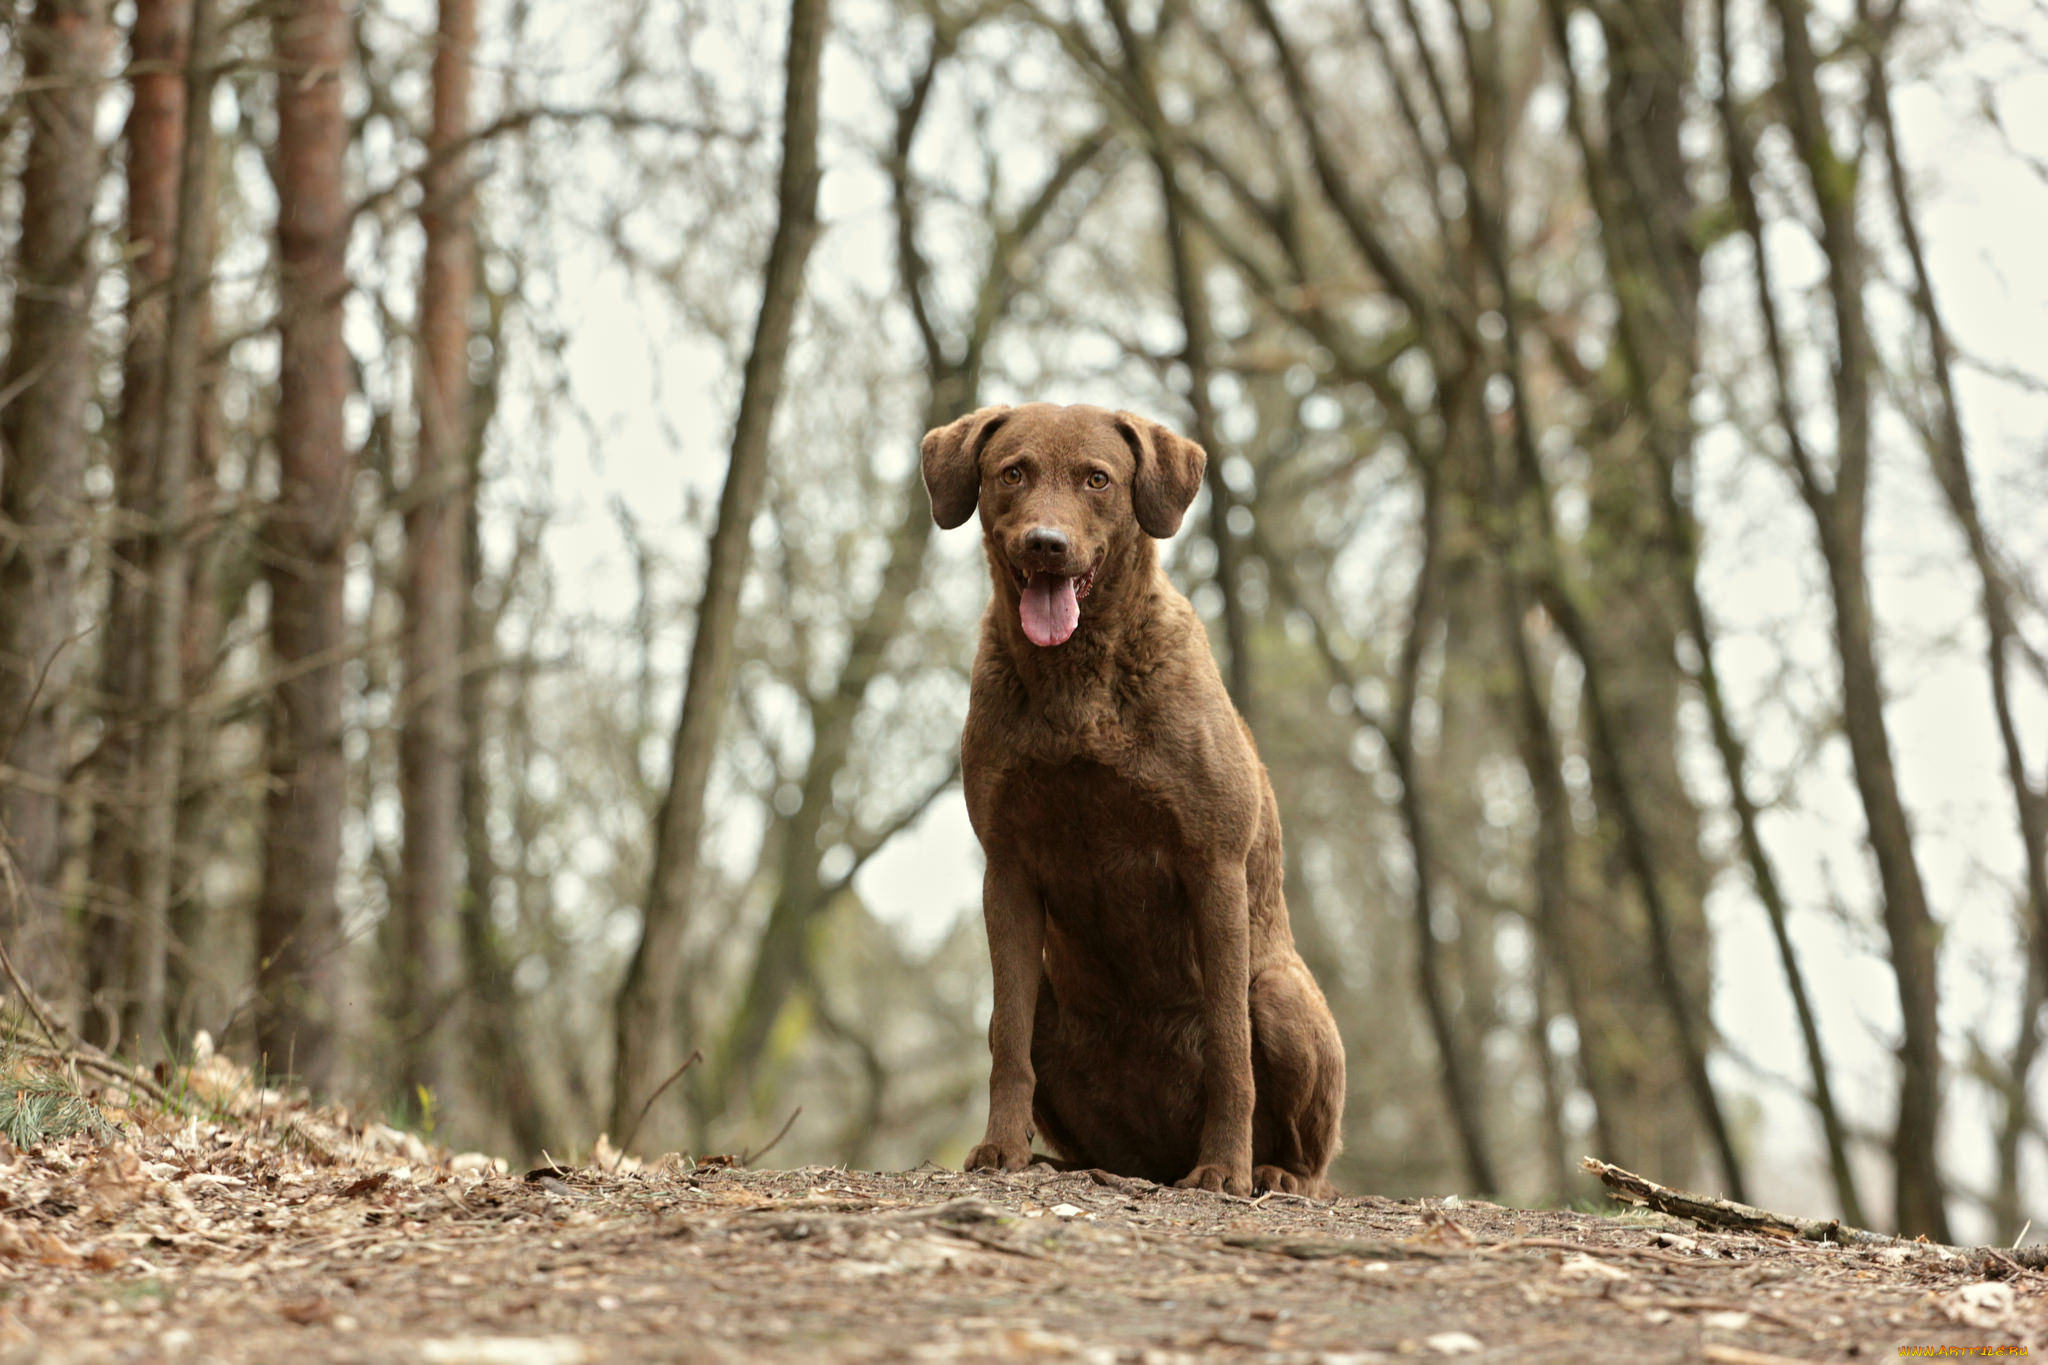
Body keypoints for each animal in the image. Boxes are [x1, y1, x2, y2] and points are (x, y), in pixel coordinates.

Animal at [925, 403, 1343, 1195]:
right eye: (1012, 472)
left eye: (1098, 479)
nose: (1046, 544)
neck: (1076, 683)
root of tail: (1155, 1159)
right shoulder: (1008, 868)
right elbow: (1005, 1036)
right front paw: (1001, 1148)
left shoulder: (1213, 863)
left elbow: (1230, 1047)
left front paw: (1223, 1168)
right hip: (1058, 1006)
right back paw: (1063, 1160)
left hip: (1281, 993)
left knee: (1310, 1149)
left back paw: (1271, 1172)